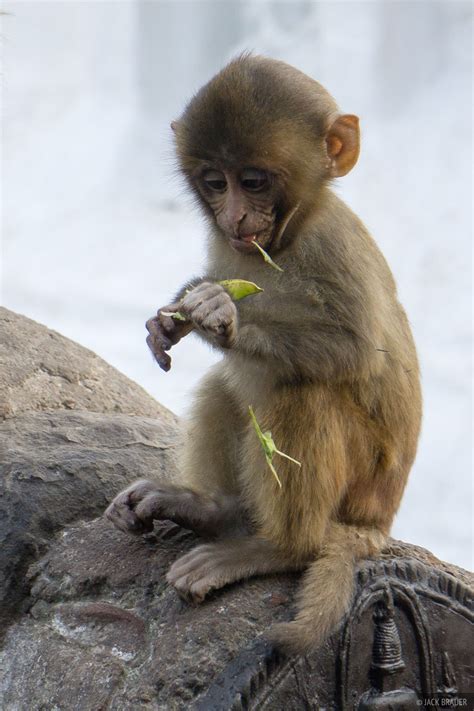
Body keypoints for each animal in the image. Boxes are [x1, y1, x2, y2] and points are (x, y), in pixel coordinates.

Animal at [105, 57, 420, 656]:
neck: (288, 237)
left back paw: (278, 550)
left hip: (363, 484)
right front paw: (175, 314)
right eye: (214, 182)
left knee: (304, 392)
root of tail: (379, 521)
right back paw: (209, 510)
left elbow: (355, 350)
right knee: (227, 387)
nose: (232, 216)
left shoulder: (332, 244)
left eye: (252, 181)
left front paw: (221, 311)